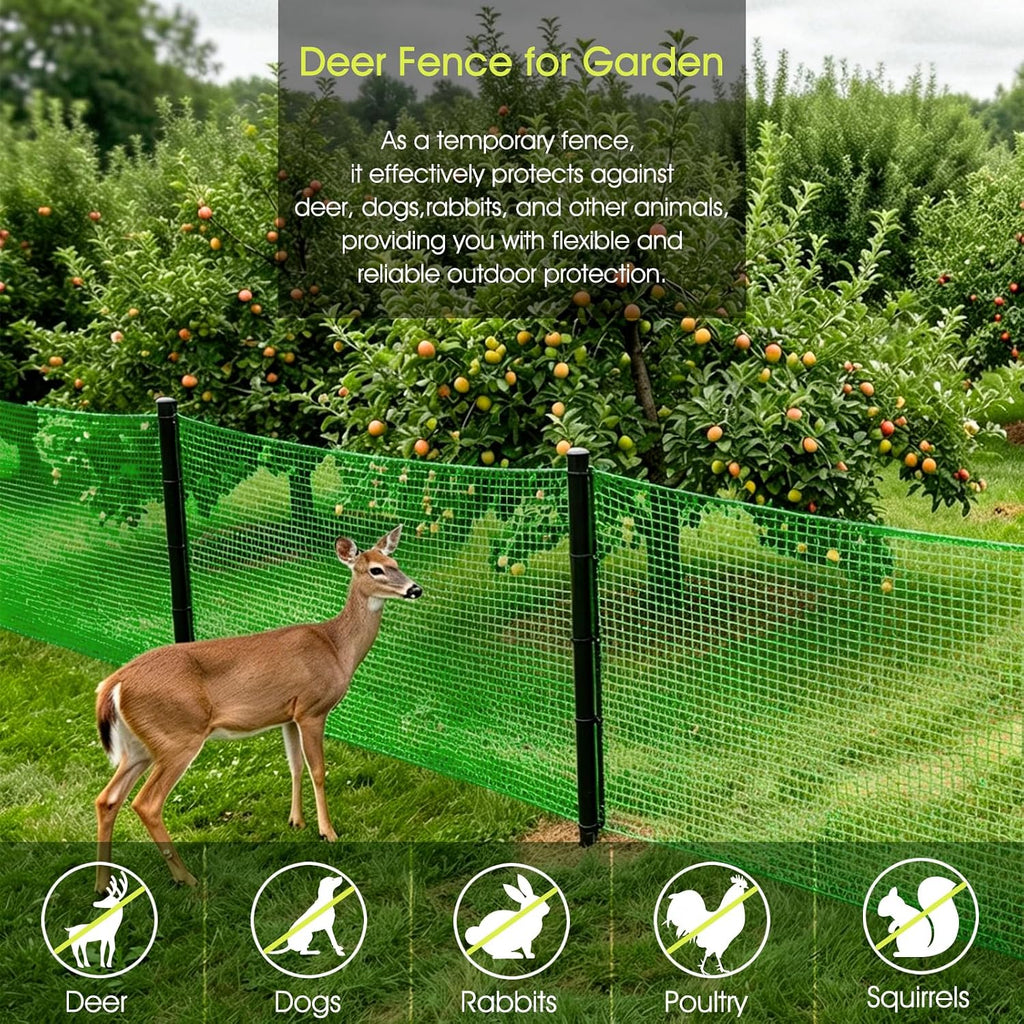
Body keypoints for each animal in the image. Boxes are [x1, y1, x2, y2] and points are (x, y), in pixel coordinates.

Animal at [93, 526, 421, 892]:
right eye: (375, 569)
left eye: (395, 562)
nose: (415, 589)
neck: (337, 648)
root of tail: (114, 683)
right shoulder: (312, 709)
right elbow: (318, 770)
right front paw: (328, 832)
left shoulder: (288, 714)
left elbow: (295, 766)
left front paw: (296, 822)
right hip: (178, 737)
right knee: (146, 803)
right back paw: (185, 877)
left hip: (140, 745)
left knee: (107, 799)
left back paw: (102, 882)